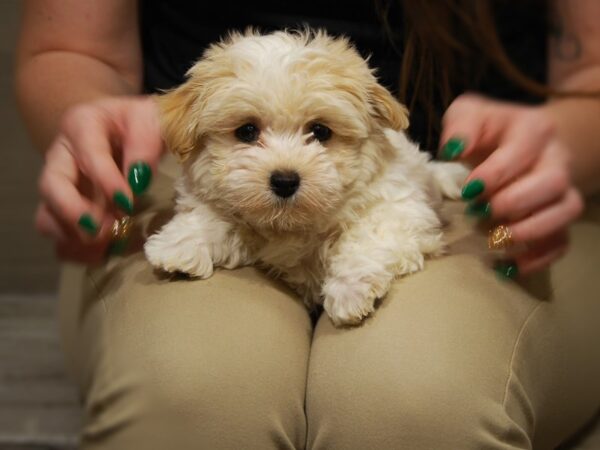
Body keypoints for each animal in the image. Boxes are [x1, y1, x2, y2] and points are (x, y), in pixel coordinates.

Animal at [144, 29, 464, 326]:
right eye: (247, 131)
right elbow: (214, 218)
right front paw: (180, 246)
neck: (292, 224)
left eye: (320, 131)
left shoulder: (399, 208)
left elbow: (367, 237)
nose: (285, 181)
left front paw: (349, 290)